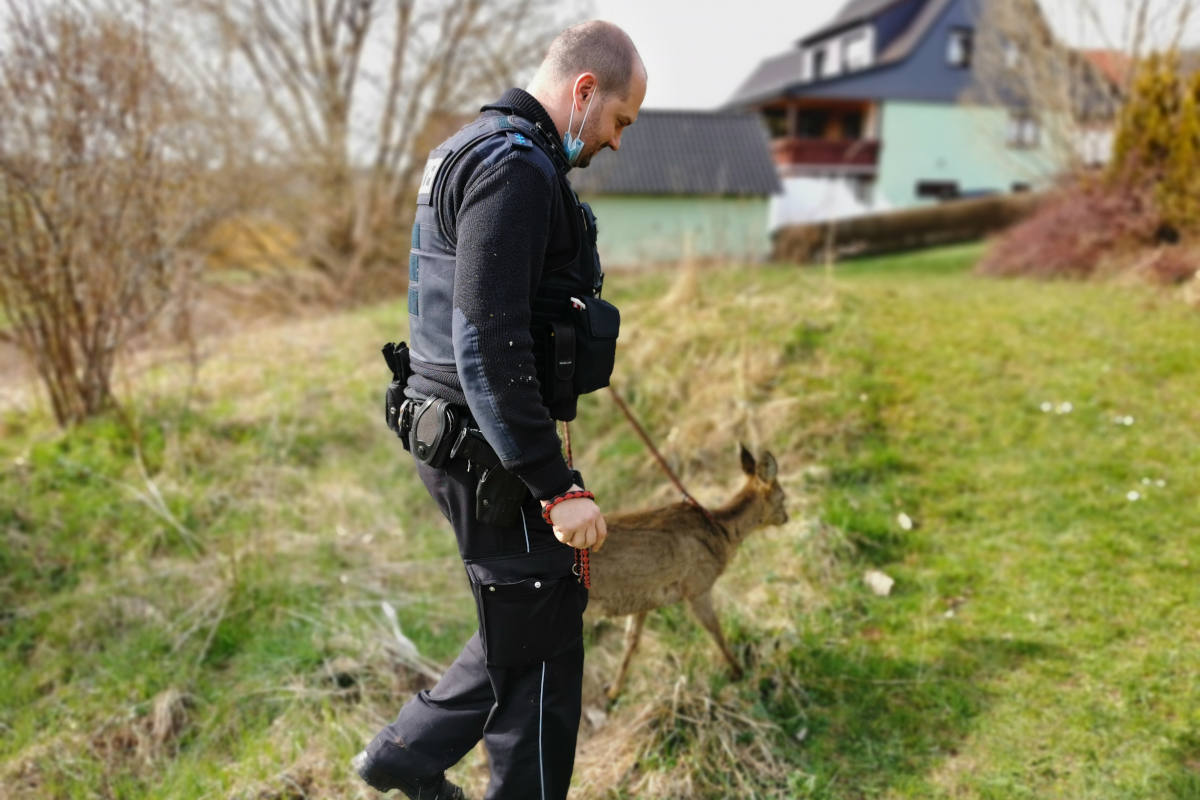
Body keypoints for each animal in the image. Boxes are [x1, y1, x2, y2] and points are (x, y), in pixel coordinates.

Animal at [586, 445, 788, 700]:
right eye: (783, 496)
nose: (787, 517)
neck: (721, 531)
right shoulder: (697, 586)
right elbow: (715, 630)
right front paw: (738, 672)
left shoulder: (643, 600)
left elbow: (630, 643)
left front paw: (613, 691)